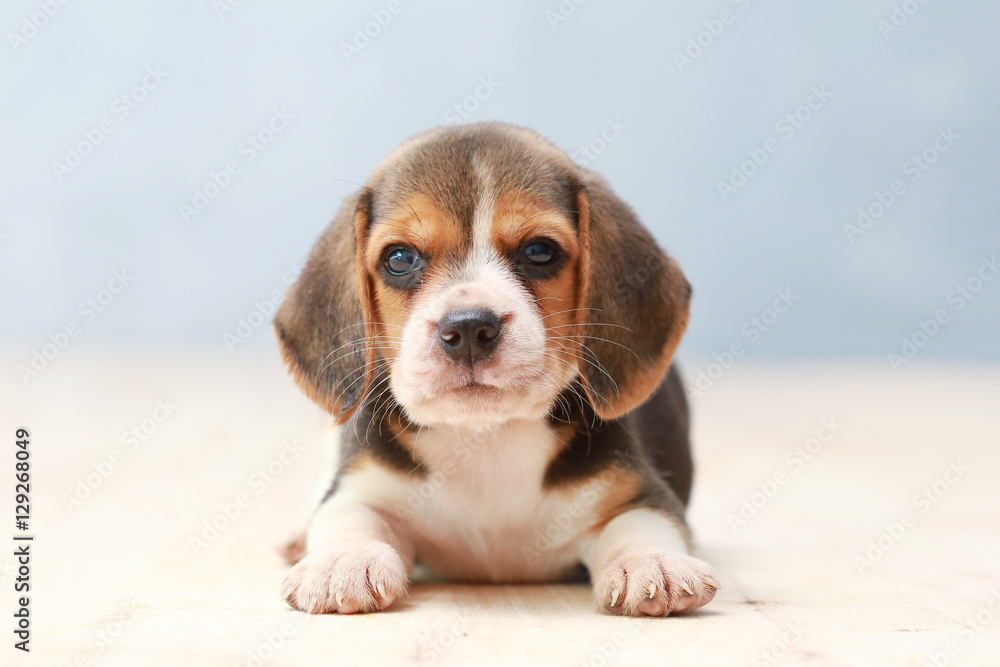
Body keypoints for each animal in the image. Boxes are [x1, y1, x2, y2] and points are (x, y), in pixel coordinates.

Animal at [274, 122, 720, 620]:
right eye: (400, 259)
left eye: (540, 251)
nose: (469, 328)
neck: (485, 436)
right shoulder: (362, 486)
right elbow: (348, 515)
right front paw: (343, 561)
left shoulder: (638, 491)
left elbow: (641, 523)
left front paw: (652, 562)